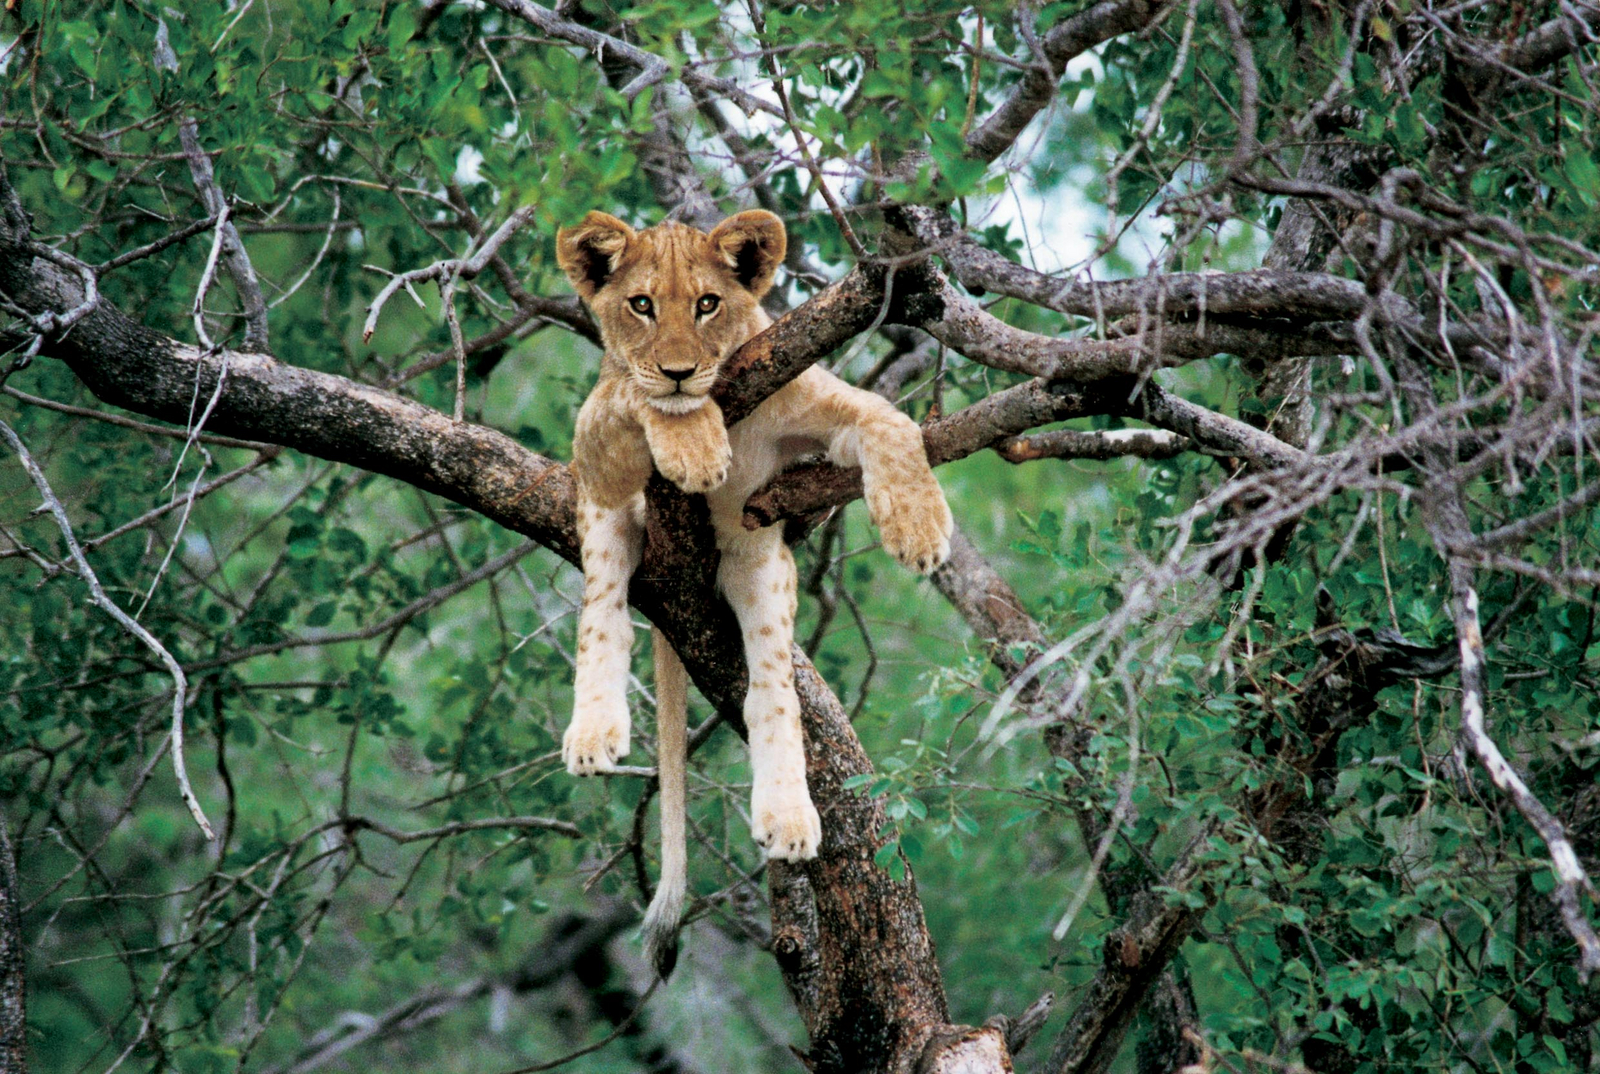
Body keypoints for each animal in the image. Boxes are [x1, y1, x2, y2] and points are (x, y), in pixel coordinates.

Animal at [555, 209, 953, 975]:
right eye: (640, 305)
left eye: (708, 303)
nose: (680, 370)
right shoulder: (593, 442)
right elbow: (634, 392)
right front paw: (692, 444)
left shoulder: (818, 405)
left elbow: (890, 419)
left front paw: (920, 527)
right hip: (603, 514)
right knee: (603, 610)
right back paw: (593, 732)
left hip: (762, 566)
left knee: (770, 691)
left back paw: (788, 816)